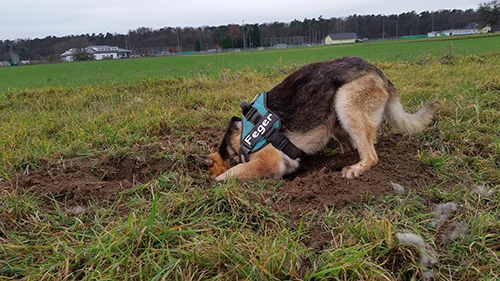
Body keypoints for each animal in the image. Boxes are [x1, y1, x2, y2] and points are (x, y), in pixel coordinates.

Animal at [193, 56, 436, 179]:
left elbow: (229, 175)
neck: (236, 144)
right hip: (335, 120)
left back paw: (355, 169)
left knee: (371, 156)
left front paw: (216, 184)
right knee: (352, 146)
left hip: (345, 104)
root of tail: (378, 71)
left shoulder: (268, 163)